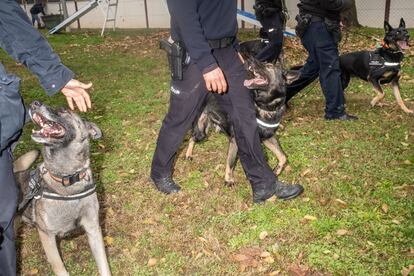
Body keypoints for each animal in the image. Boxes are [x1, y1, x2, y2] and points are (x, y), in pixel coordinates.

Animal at [13, 101, 111, 276]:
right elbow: (59, 268)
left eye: (64, 110)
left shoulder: (93, 229)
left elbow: (104, 265)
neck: (68, 179)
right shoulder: (47, 236)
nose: (34, 103)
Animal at [184, 56, 298, 184]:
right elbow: (231, 160)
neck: (265, 106)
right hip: (201, 131)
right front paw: (228, 179)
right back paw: (188, 154)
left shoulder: (267, 137)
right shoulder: (237, 140)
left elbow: (283, 157)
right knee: (192, 138)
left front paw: (276, 170)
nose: (250, 59)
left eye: (269, 66)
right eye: (265, 63)